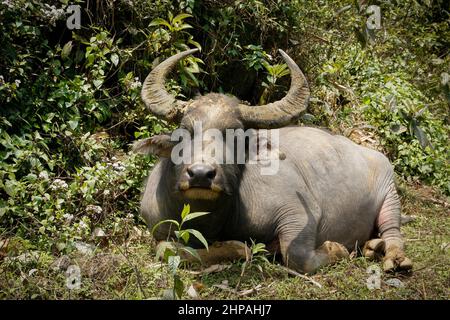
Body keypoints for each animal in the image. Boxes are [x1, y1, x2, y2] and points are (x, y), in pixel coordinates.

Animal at [134, 48, 412, 274]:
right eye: (184, 130)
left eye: (237, 136)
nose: (201, 174)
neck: (212, 219)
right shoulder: (157, 226)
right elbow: (168, 250)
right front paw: (236, 247)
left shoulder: (298, 212)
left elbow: (296, 254)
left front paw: (337, 249)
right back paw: (372, 246)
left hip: (390, 194)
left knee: (393, 230)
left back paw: (395, 258)